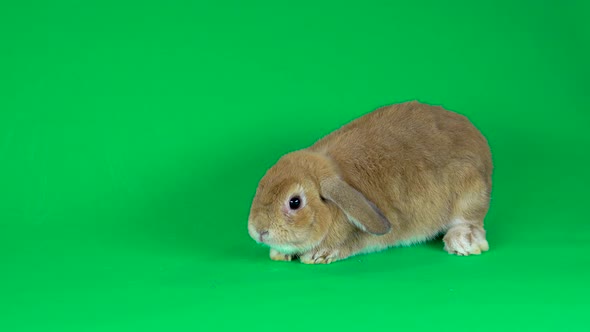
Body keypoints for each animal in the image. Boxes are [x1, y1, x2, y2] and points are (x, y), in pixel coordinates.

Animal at [247, 100, 492, 264]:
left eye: (295, 202)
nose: (258, 231)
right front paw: (280, 253)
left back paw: (462, 242)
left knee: (470, 221)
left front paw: (319, 255)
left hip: (470, 193)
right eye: (261, 186)